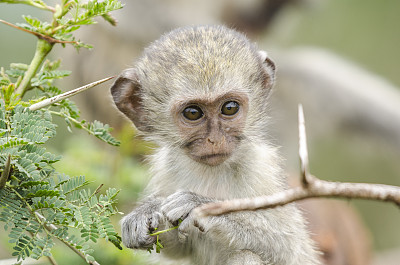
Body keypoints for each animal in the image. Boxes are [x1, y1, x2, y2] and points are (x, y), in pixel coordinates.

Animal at [111, 25, 320, 264]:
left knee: (247, 255)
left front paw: (201, 207)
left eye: (229, 108)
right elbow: (180, 249)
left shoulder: (261, 168)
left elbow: (288, 247)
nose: (215, 140)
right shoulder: (165, 168)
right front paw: (145, 213)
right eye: (193, 113)